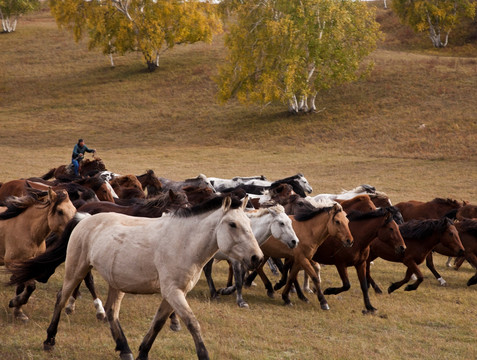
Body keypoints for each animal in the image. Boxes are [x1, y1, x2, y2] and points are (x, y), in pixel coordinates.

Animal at [0, 188, 76, 320]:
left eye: (75, 210)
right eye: (60, 211)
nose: (74, 230)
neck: (27, 229)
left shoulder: (27, 265)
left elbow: (22, 286)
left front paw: (18, 312)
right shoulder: (12, 264)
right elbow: (30, 285)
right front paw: (15, 303)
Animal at [9, 197, 262, 360]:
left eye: (249, 224)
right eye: (232, 224)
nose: (256, 257)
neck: (182, 241)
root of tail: (85, 218)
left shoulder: (174, 293)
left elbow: (158, 323)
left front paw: (142, 352)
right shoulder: (173, 292)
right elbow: (192, 323)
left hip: (115, 282)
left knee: (111, 311)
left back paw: (125, 349)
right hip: (76, 268)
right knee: (62, 298)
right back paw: (49, 340)